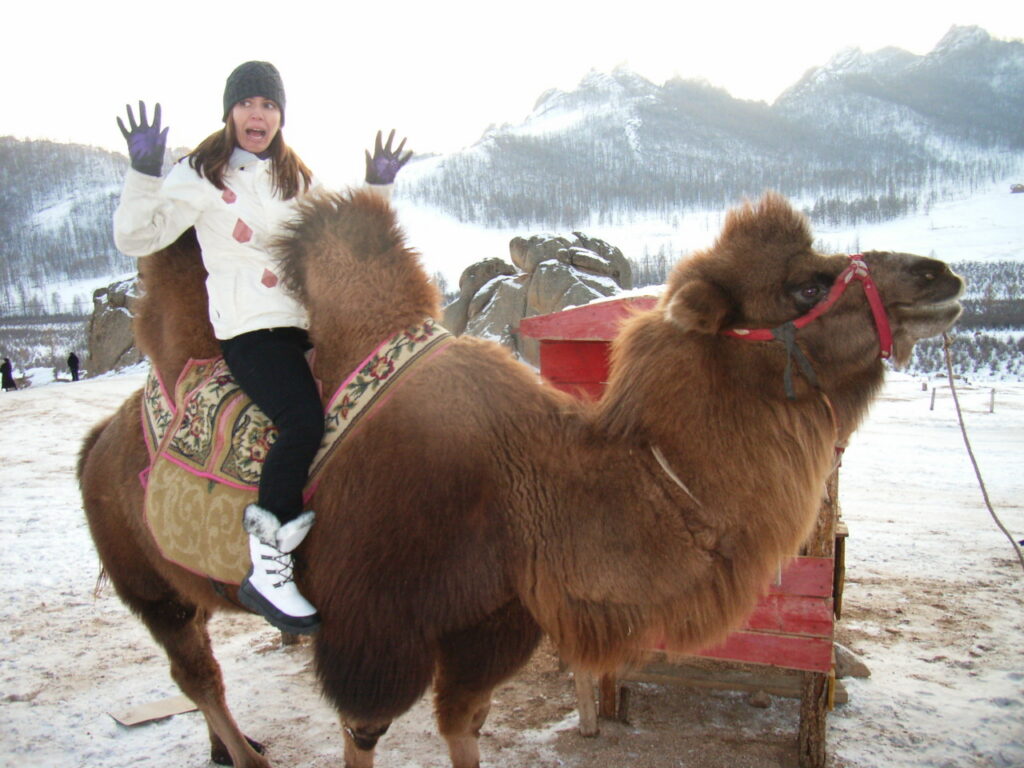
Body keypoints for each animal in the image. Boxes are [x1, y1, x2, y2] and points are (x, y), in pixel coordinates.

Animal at [78, 190, 963, 768]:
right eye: (805, 283)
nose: (942, 277)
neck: (521, 491)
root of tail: (100, 437)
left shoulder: (491, 623)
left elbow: (463, 726)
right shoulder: (373, 635)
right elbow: (363, 732)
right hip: (141, 576)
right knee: (194, 670)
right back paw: (248, 755)